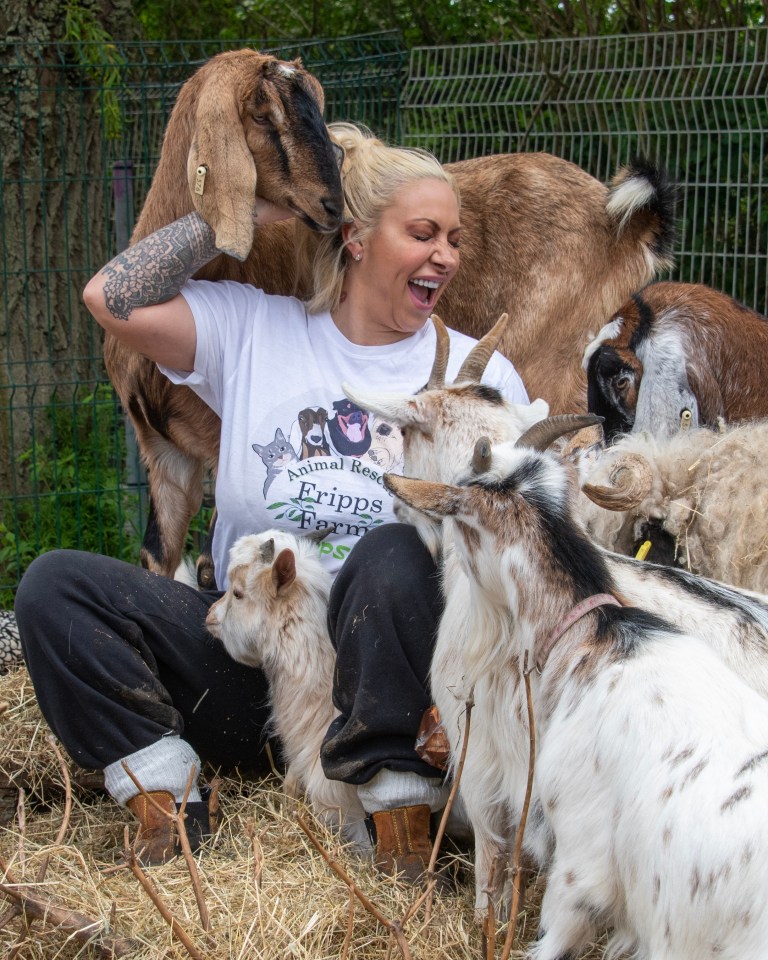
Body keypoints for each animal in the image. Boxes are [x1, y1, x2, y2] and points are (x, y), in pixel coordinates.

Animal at [103, 50, 680, 592]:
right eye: (262, 113)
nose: (333, 204)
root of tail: (621, 221)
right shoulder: (165, 454)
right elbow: (159, 557)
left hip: (553, 368)